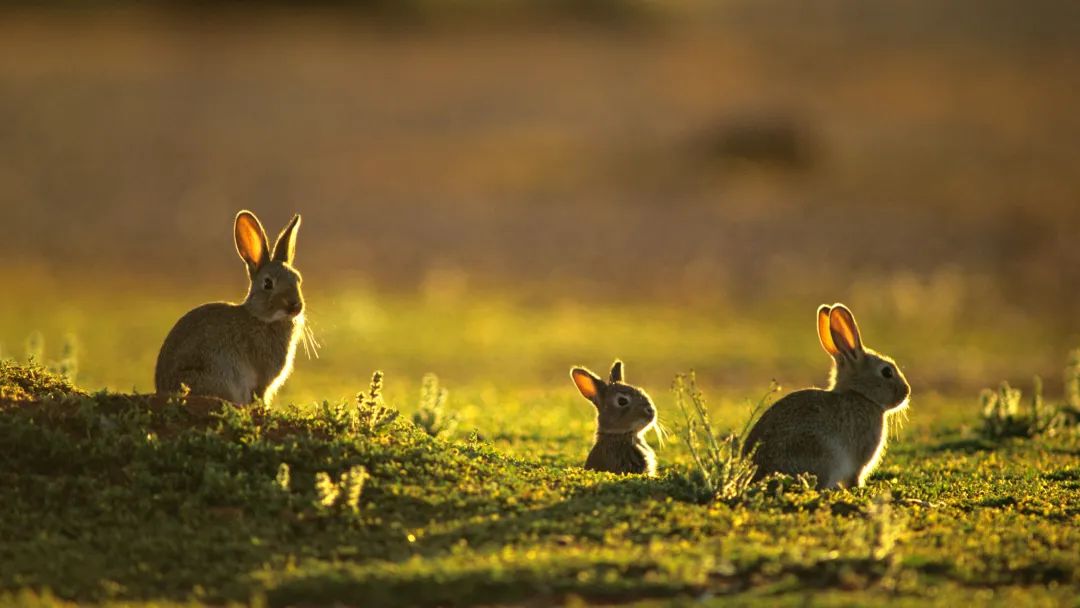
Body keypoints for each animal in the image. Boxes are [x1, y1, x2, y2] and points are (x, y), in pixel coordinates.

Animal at [743, 304, 911, 490]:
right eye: (887, 372)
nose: (907, 391)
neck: (861, 396)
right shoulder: (858, 461)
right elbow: (854, 478)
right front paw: (858, 489)